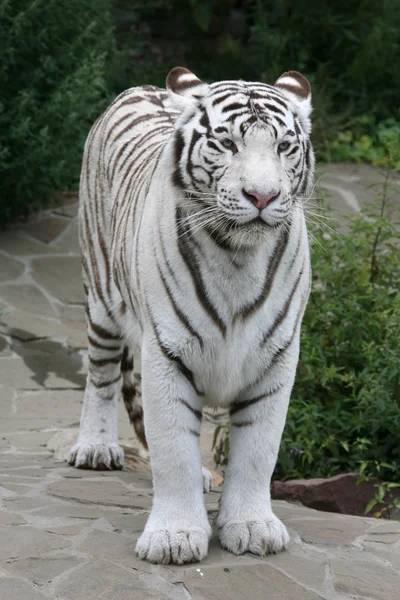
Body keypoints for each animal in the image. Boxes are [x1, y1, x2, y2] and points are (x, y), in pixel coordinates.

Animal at [68, 68, 312, 564]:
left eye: (283, 146)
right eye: (227, 143)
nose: (262, 195)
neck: (238, 257)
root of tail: (140, 87)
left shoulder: (277, 359)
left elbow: (259, 451)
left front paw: (253, 527)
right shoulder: (167, 353)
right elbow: (173, 451)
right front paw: (173, 537)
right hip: (101, 297)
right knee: (102, 375)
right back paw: (96, 447)